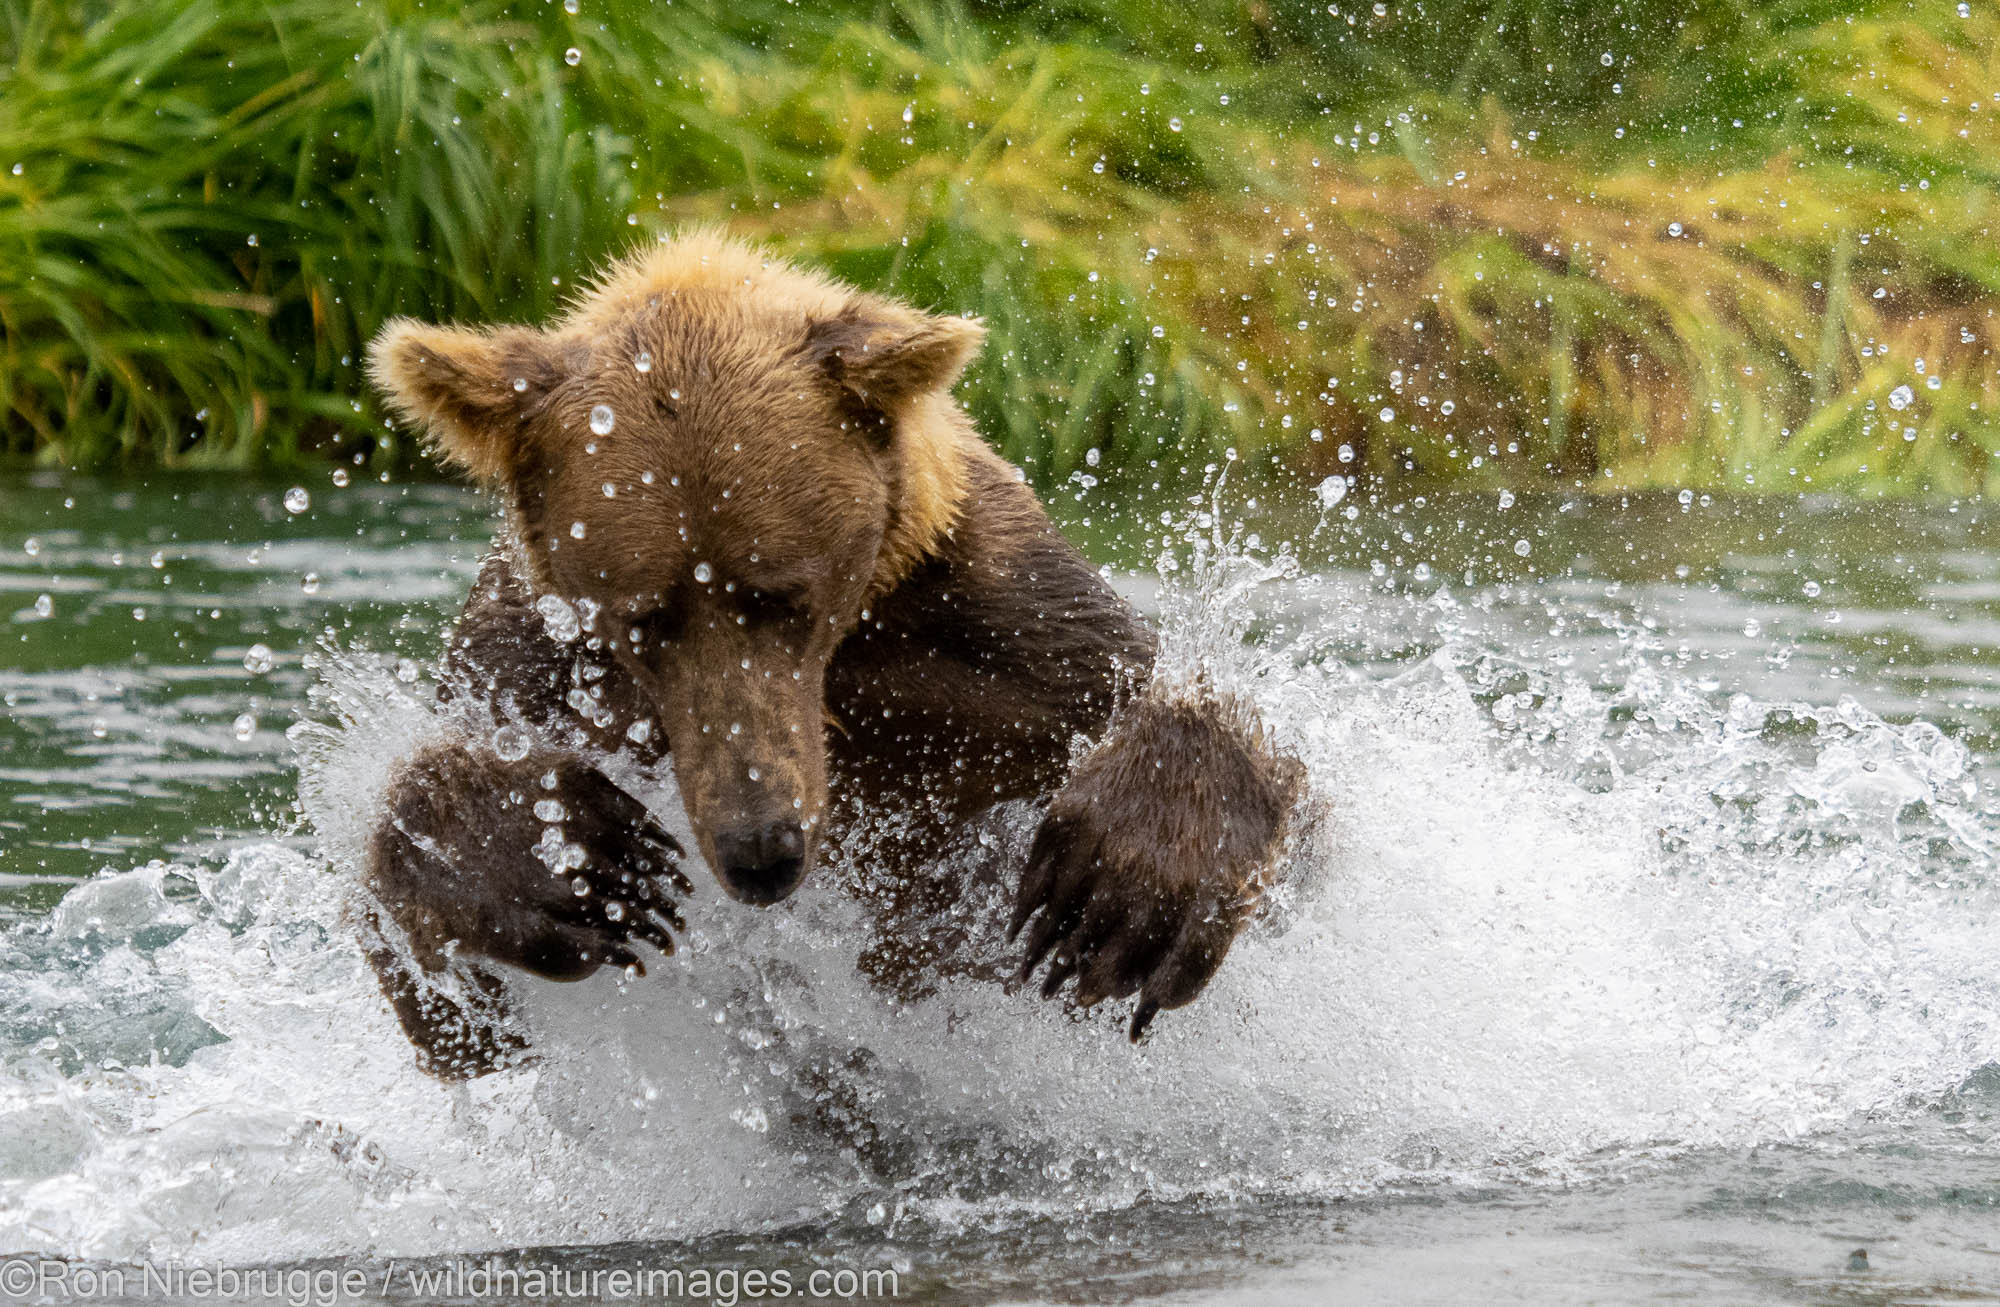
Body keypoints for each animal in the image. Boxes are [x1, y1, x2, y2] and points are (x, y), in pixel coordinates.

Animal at [362, 230, 1304, 1079]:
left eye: (781, 592)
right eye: (647, 617)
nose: (761, 847)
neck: (852, 649)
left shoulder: (1006, 629)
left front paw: (1118, 900)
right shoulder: (537, 662)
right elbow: (440, 999)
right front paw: (577, 857)